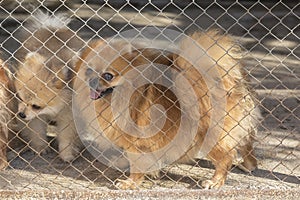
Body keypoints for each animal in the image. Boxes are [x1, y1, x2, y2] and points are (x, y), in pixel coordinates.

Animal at [12, 10, 83, 161]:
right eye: (20, 98)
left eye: (36, 106)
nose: (21, 114)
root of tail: (50, 25)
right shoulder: (35, 117)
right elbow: (37, 131)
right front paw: (40, 148)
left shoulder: (68, 115)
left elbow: (66, 136)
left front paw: (66, 154)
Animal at [75, 30, 260, 189]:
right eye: (88, 70)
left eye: (108, 76)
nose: (92, 80)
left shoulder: (138, 141)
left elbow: (137, 165)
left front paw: (130, 183)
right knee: (245, 142)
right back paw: (248, 165)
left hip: (210, 134)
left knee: (225, 158)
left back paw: (215, 181)